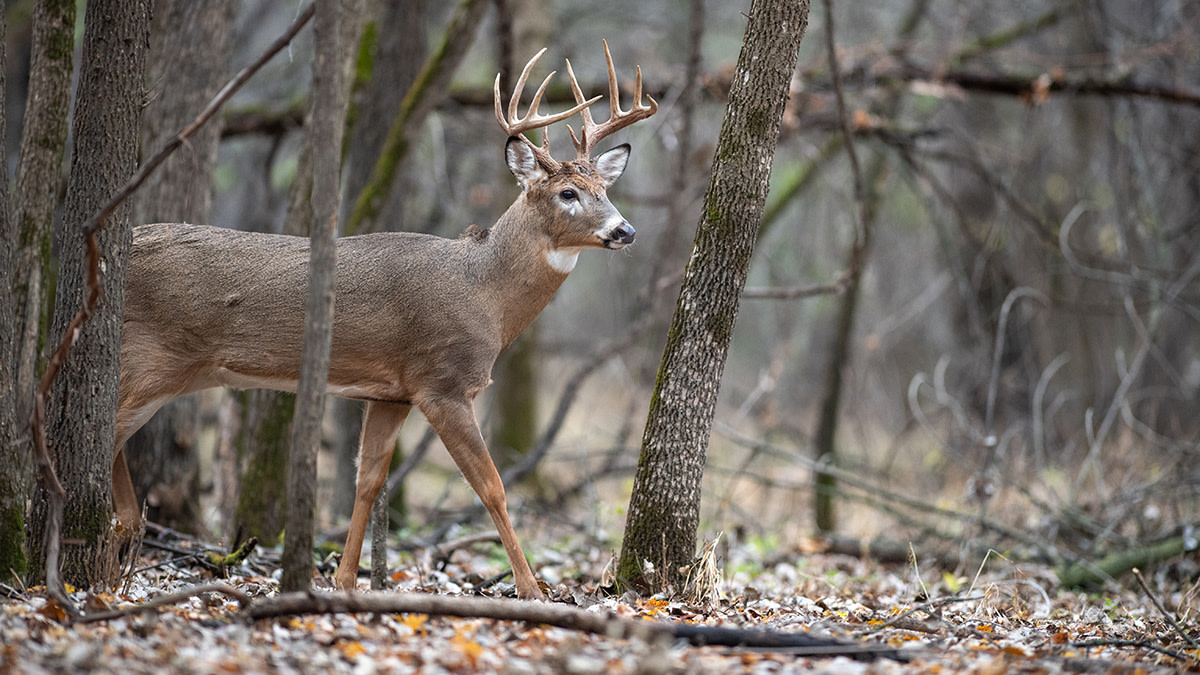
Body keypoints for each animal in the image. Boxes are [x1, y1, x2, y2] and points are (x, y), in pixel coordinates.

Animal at [111, 42, 656, 601]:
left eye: (604, 188)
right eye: (568, 193)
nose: (625, 230)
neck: (484, 292)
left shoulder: (391, 393)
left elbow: (368, 480)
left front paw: (345, 580)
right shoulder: (442, 382)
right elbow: (493, 487)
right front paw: (532, 589)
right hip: (151, 356)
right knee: (105, 430)